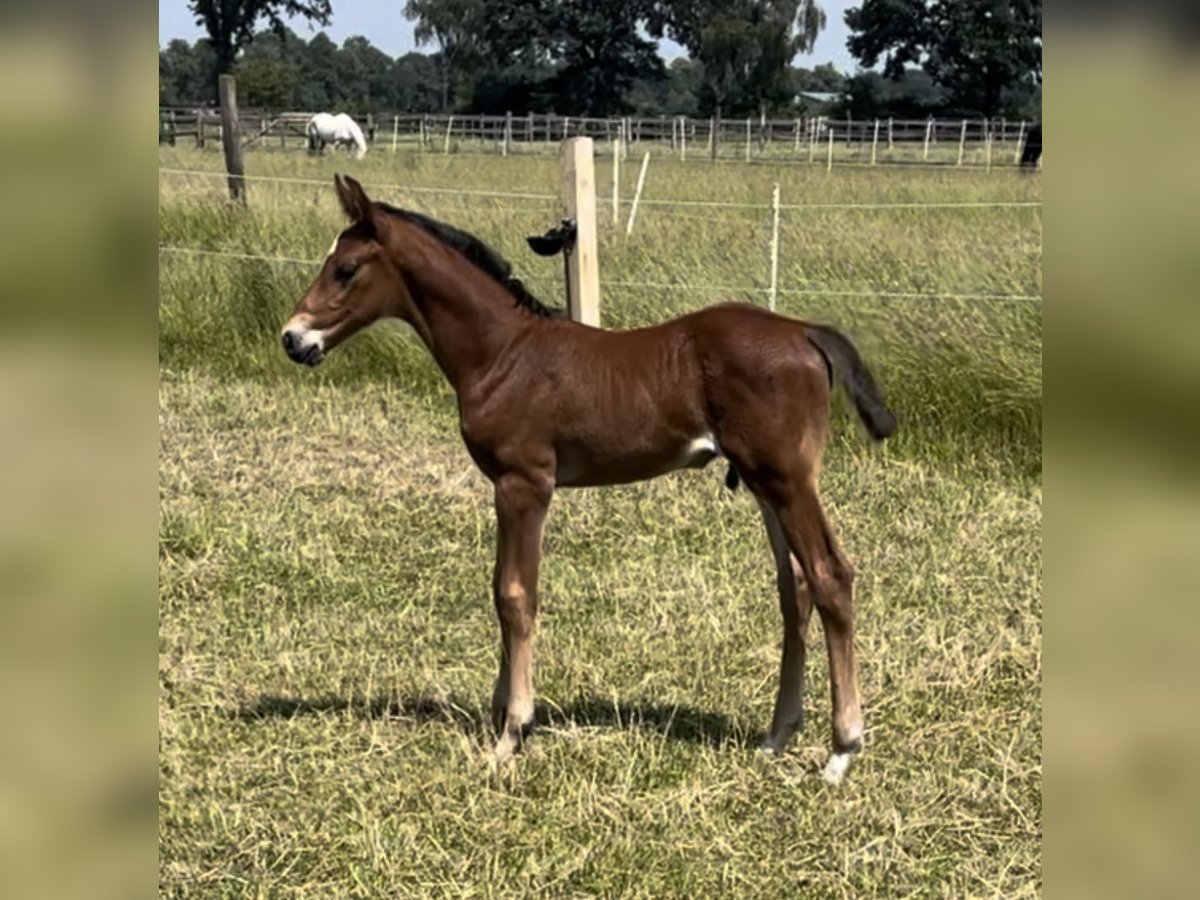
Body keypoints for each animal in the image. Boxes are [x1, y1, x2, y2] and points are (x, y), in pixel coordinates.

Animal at [283, 174, 902, 782]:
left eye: (346, 268)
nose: (293, 338)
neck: (503, 354)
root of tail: (805, 332)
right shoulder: (504, 486)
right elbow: (500, 588)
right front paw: (499, 715)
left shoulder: (524, 483)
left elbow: (516, 595)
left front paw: (511, 734)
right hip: (763, 481)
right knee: (793, 587)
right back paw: (777, 736)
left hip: (788, 479)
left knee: (829, 576)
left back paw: (841, 750)